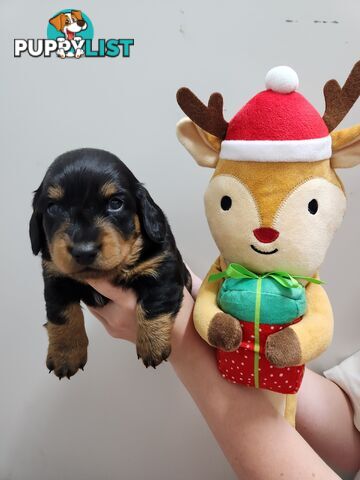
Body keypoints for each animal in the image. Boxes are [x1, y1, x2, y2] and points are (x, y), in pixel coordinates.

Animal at [30, 149, 191, 378]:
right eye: (53, 208)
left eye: (115, 203)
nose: (84, 252)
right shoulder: (55, 278)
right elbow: (62, 314)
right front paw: (65, 355)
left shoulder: (162, 266)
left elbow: (154, 304)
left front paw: (152, 344)